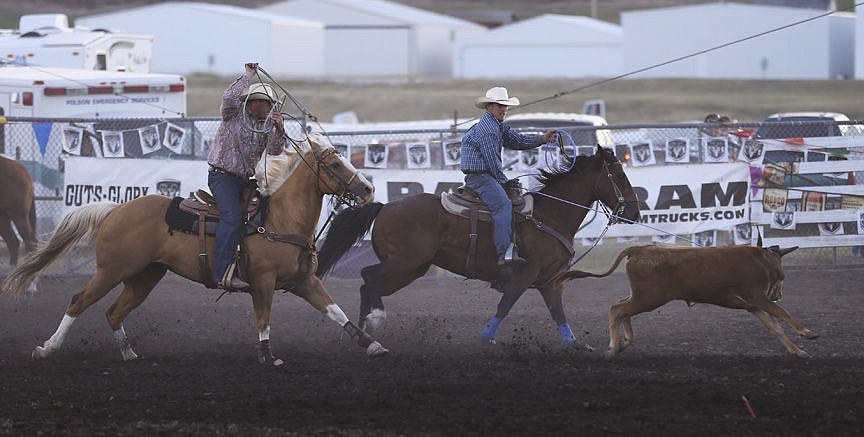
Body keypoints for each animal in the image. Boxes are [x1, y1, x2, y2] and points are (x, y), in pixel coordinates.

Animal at [314, 145, 636, 350]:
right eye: (619, 175)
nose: (634, 212)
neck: (549, 215)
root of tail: (384, 207)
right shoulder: (524, 275)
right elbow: (506, 304)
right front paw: (487, 338)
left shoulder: (549, 281)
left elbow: (558, 313)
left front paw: (574, 344)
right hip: (404, 263)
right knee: (368, 276)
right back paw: (374, 321)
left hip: (410, 270)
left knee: (367, 286)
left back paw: (361, 335)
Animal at [556, 244, 820, 356]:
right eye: (782, 276)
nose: (779, 294)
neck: (760, 261)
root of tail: (640, 249)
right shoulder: (757, 297)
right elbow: (782, 314)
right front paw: (807, 333)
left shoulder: (753, 305)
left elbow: (775, 327)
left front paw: (797, 351)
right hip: (649, 298)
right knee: (617, 309)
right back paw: (613, 348)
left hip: (642, 296)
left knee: (622, 308)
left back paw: (624, 342)